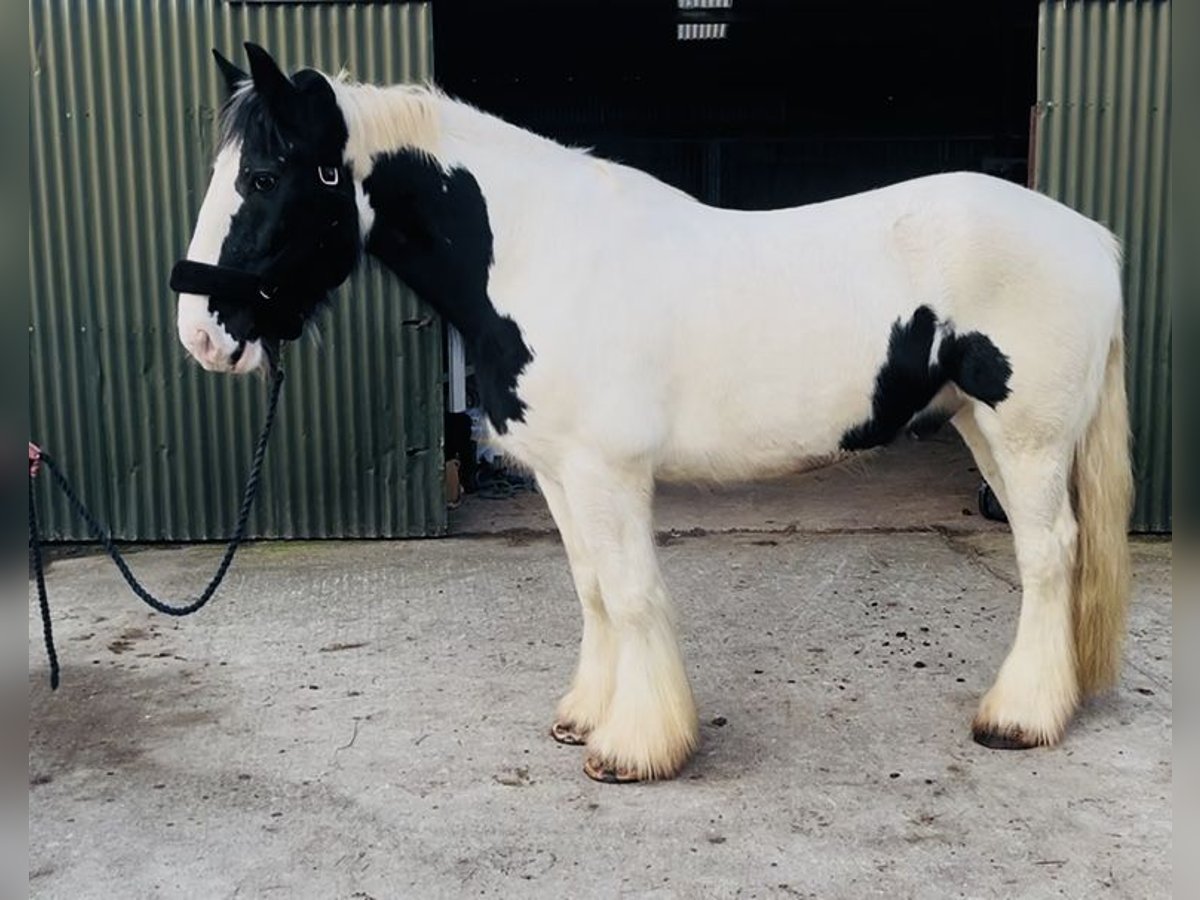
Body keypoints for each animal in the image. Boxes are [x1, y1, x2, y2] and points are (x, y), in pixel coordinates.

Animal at [172, 43, 1132, 783]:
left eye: (262, 175)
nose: (201, 336)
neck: (538, 252)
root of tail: (1091, 237)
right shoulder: (561, 474)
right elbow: (593, 590)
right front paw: (583, 717)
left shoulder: (608, 472)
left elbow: (633, 596)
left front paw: (636, 748)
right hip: (980, 426)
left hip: (1028, 435)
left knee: (1050, 554)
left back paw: (1020, 718)